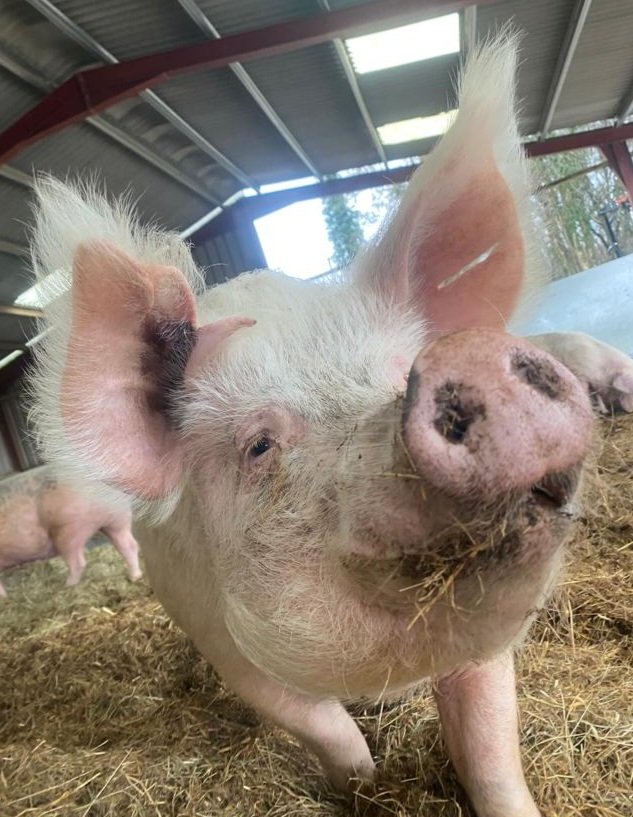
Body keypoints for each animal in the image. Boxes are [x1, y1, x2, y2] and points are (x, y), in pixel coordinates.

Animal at [0, 467, 141, 595]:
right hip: (118, 518)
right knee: (129, 545)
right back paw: (135, 577)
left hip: (69, 529)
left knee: (78, 563)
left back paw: (67, 586)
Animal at [26, 37, 631, 817]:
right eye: (258, 445)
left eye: (403, 369)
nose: (467, 360)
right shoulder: (218, 636)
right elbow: (320, 726)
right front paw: (366, 787)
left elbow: (489, 744)